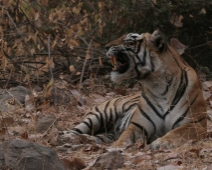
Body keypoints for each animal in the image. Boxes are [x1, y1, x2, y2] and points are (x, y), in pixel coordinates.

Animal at [60, 29, 206, 149]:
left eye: (129, 41)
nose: (105, 47)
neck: (158, 85)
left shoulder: (196, 123)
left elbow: (177, 132)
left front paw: (161, 142)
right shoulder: (138, 125)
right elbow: (125, 136)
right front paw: (116, 147)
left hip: (106, 133)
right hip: (99, 115)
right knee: (73, 130)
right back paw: (67, 137)